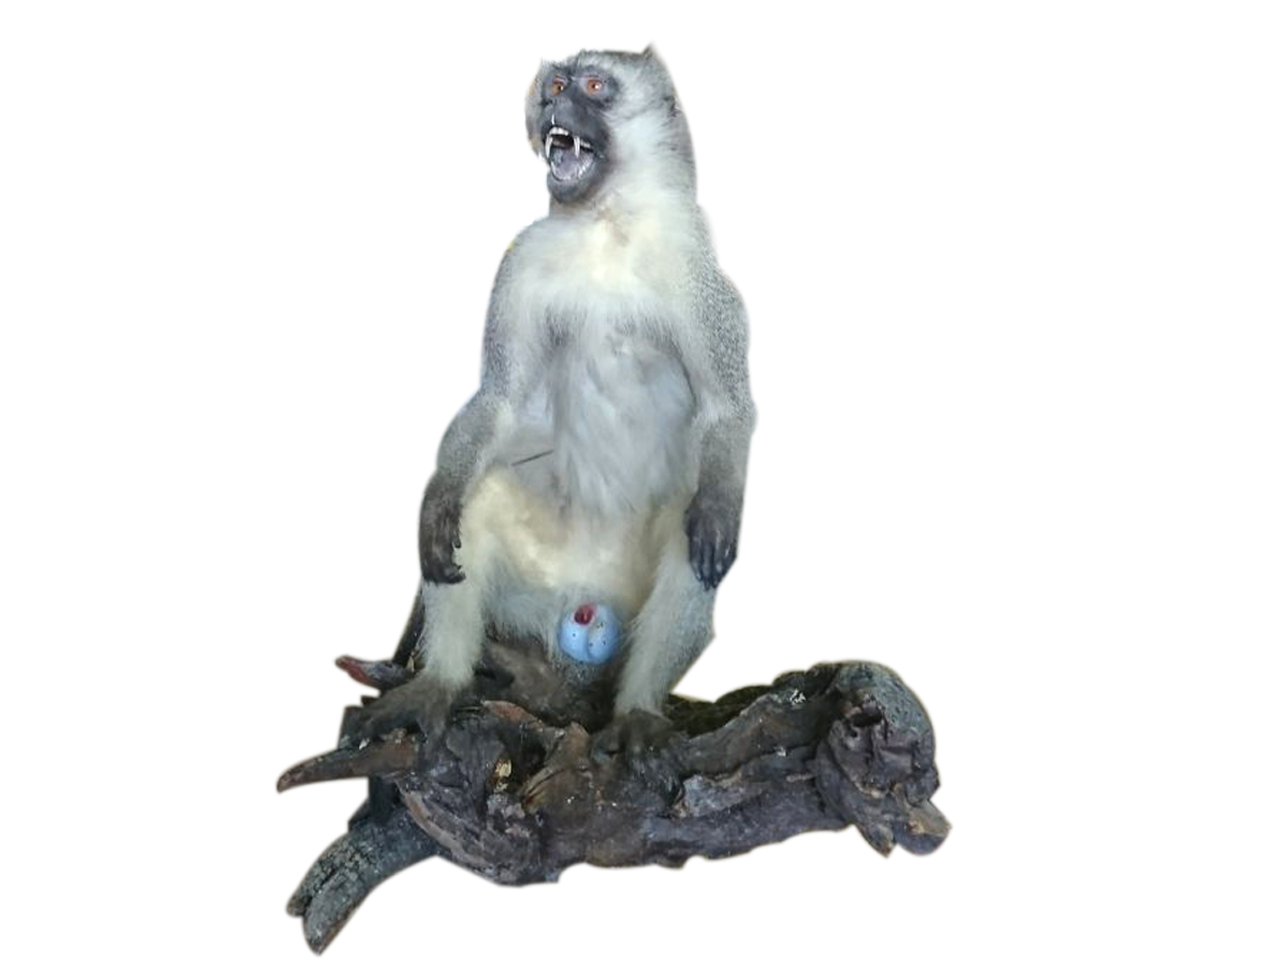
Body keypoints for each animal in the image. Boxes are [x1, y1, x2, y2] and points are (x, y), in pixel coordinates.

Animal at [342, 41, 760, 779]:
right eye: (556, 86)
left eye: (593, 87)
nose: (554, 106)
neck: (605, 226)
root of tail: (585, 607)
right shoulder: (518, 264)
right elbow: (499, 399)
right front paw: (435, 502)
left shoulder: (705, 282)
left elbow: (728, 411)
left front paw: (718, 507)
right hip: (532, 588)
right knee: (477, 503)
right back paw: (436, 686)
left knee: (694, 539)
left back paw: (638, 710)